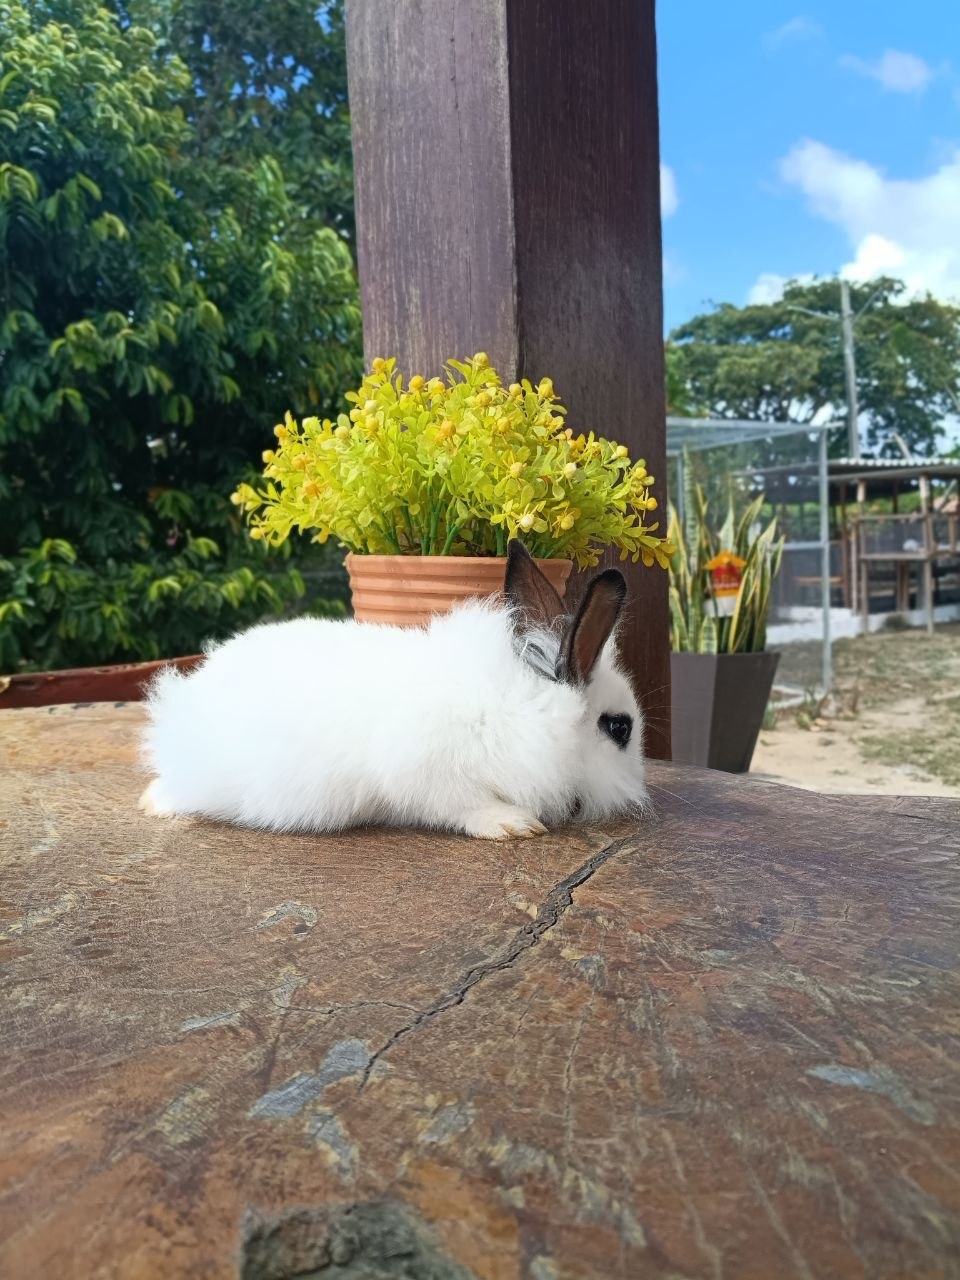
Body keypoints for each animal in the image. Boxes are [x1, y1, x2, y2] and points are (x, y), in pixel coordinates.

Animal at [138, 540, 648, 839]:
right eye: (619, 728)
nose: (638, 787)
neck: (521, 712)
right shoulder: (428, 774)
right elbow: (464, 806)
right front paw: (515, 824)